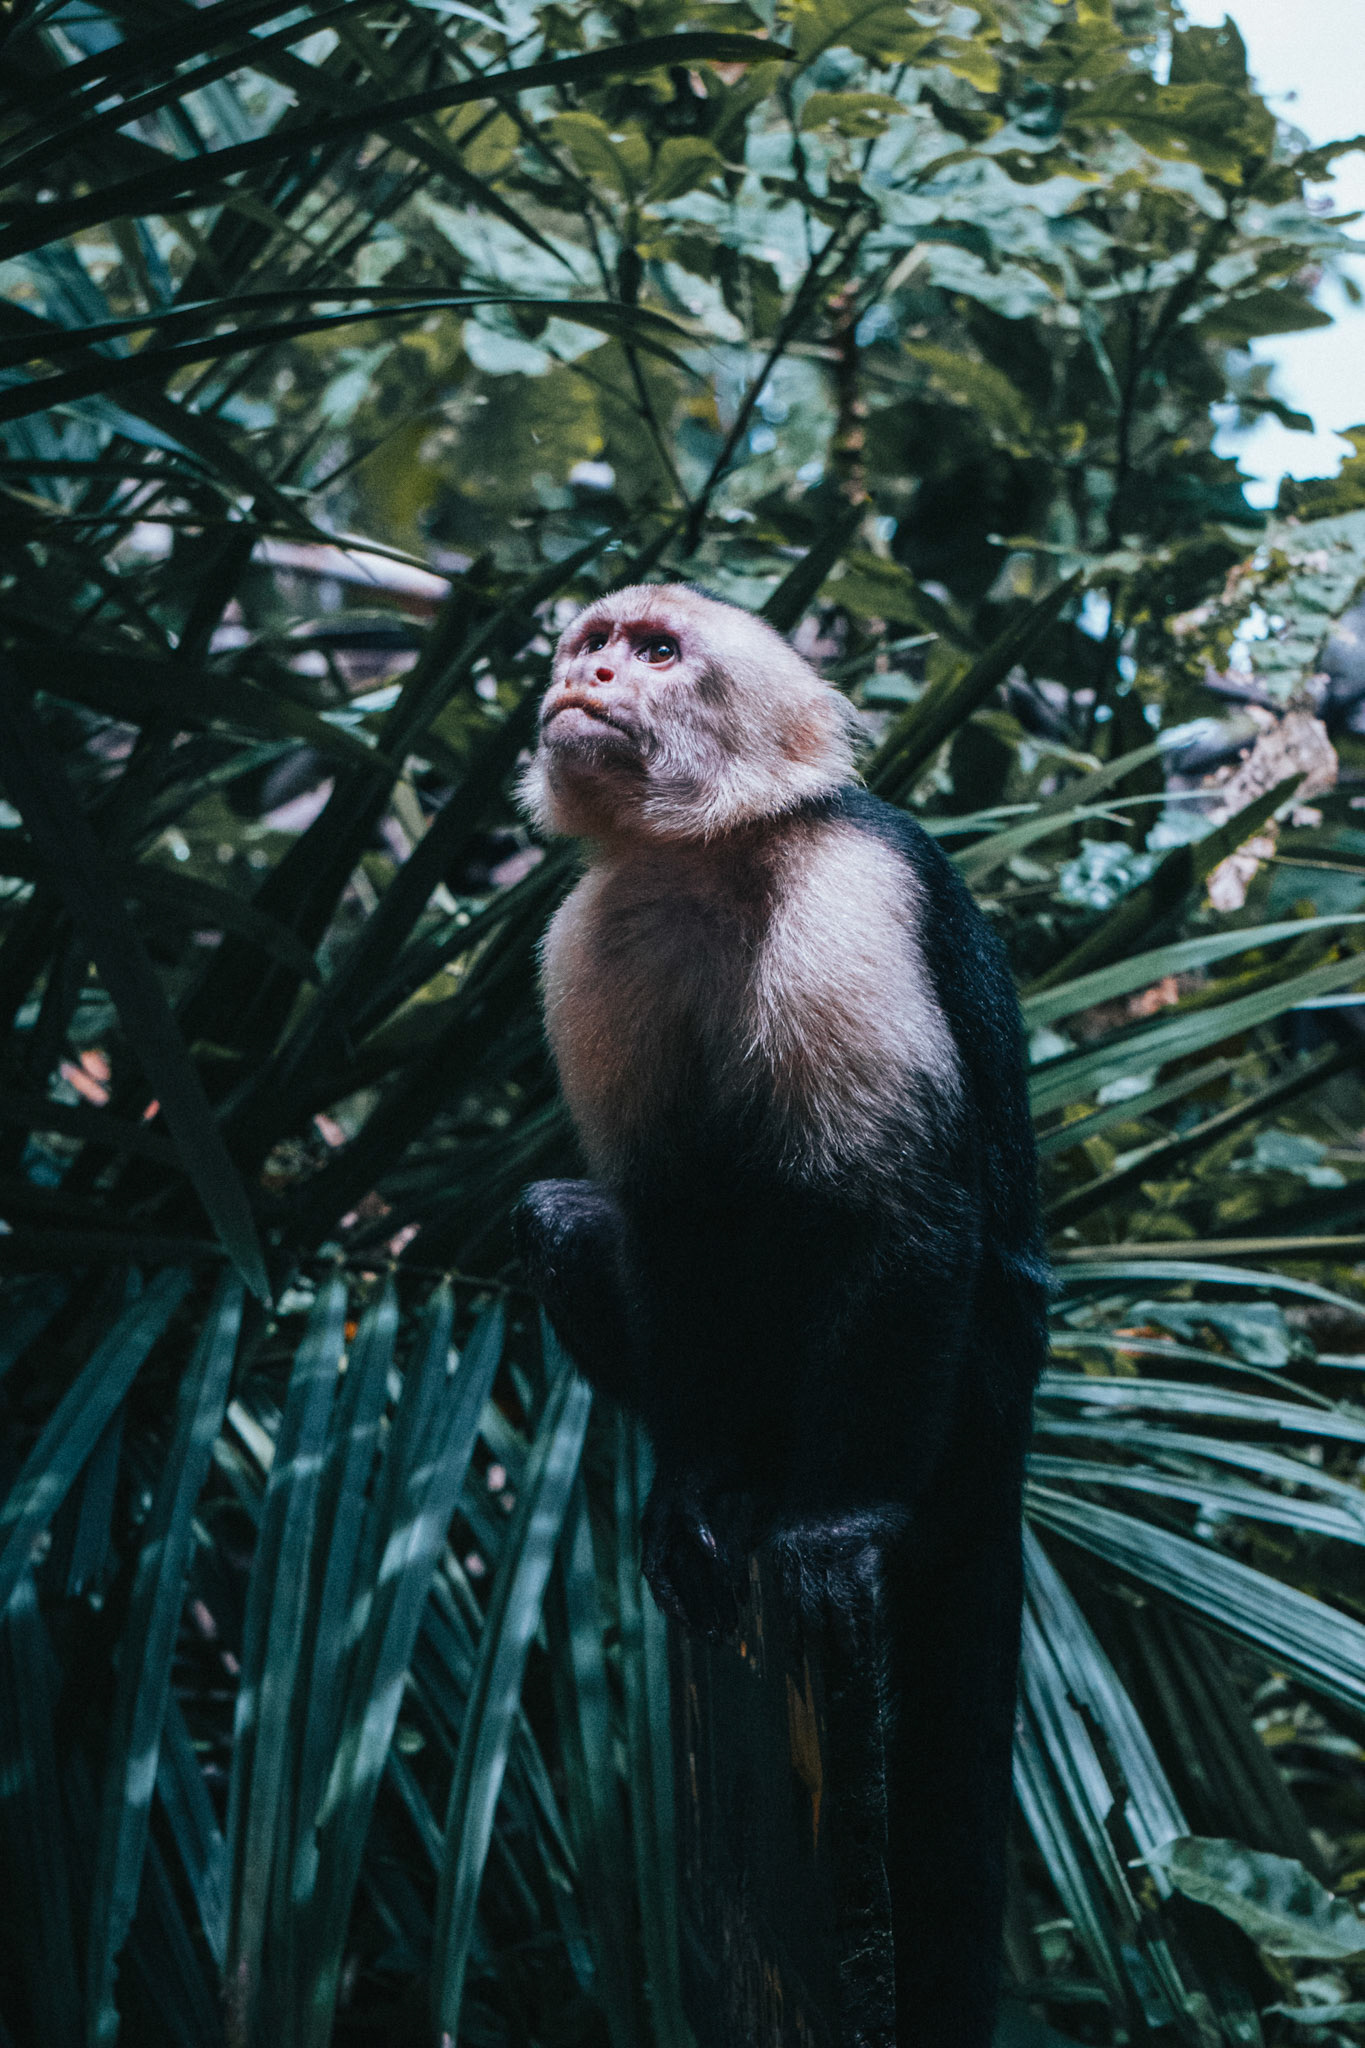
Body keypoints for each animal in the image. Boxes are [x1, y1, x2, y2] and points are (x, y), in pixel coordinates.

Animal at [514, 582, 1048, 2048]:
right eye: (592, 640)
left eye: (655, 652)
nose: (583, 676)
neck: (708, 855)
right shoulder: (592, 936)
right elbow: (664, 1218)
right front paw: (702, 1488)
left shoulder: (846, 888)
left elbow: (903, 1211)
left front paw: (834, 1524)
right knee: (572, 1220)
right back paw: (740, 1485)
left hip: (979, 1389)